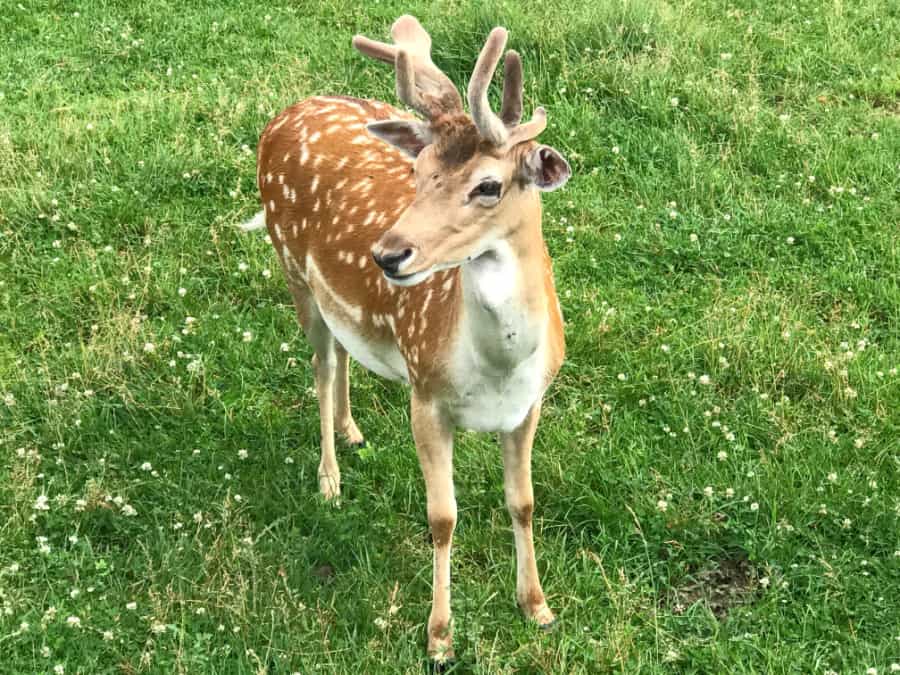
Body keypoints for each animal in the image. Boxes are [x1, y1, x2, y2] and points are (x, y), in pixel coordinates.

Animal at [243, 15, 568, 664]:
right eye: (418, 175)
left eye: (489, 186)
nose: (387, 255)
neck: (497, 368)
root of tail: (282, 116)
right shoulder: (425, 395)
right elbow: (443, 517)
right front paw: (439, 637)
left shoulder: (531, 403)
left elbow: (523, 502)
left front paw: (537, 607)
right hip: (290, 265)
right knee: (319, 366)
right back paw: (330, 479)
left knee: (343, 347)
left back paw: (352, 429)